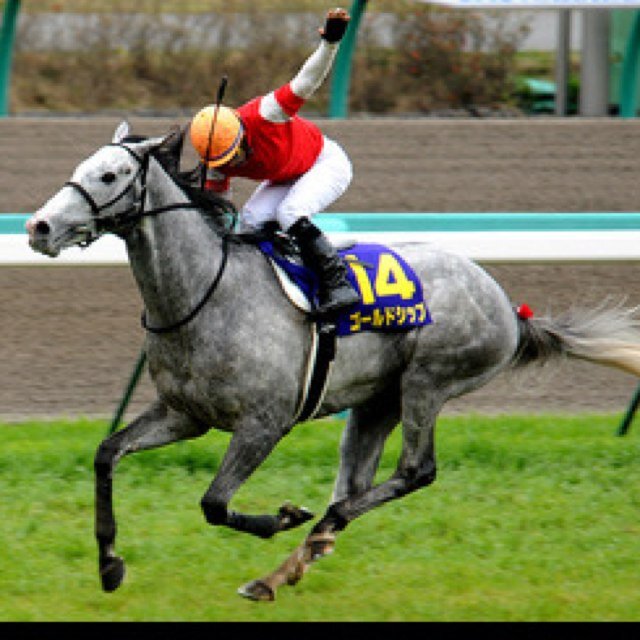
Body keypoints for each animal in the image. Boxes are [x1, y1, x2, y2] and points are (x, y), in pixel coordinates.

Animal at [26, 124, 640, 600]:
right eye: (81, 167)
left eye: (109, 176)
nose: (38, 227)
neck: (207, 292)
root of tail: (508, 308)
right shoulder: (185, 414)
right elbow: (107, 454)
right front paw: (109, 565)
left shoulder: (264, 422)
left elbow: (215, 503)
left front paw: (282, 516)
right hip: (375, 403)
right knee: (354, 485)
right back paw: (282, 570)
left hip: (427, 381)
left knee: (414, 472)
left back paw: (314, 533)